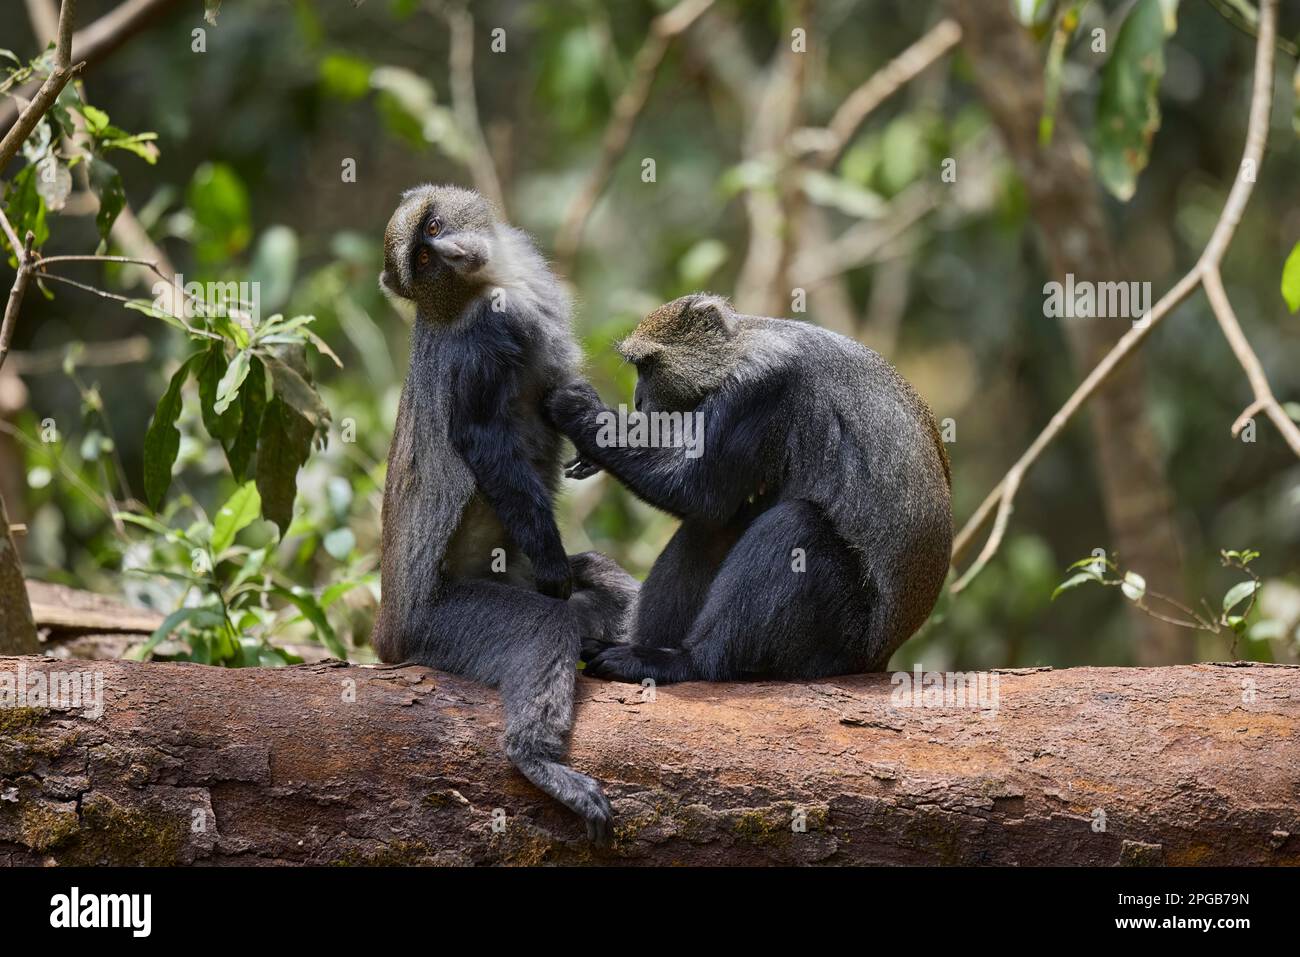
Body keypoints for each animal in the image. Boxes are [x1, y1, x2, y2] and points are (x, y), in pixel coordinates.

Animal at [371, 183, 639, 842]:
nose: (449, 249)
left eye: (433, 228)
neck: (488, 282)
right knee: (544, 625)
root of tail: (391, 638)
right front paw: (553, 565)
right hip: (444, 625)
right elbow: (482, 439)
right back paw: (536, 758)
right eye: (423, 258)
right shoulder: (489, 335)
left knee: (607, 583)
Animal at [543, 295, 951, 686]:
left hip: (841, 640)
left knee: (795, 526)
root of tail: (879, 657)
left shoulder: (759, 387)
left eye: (648, 367)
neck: (741, 344)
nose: (639, 400)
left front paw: (579, 408)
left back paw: (682, 662)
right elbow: (713, 508)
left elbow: (694, 489)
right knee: (713, 528)